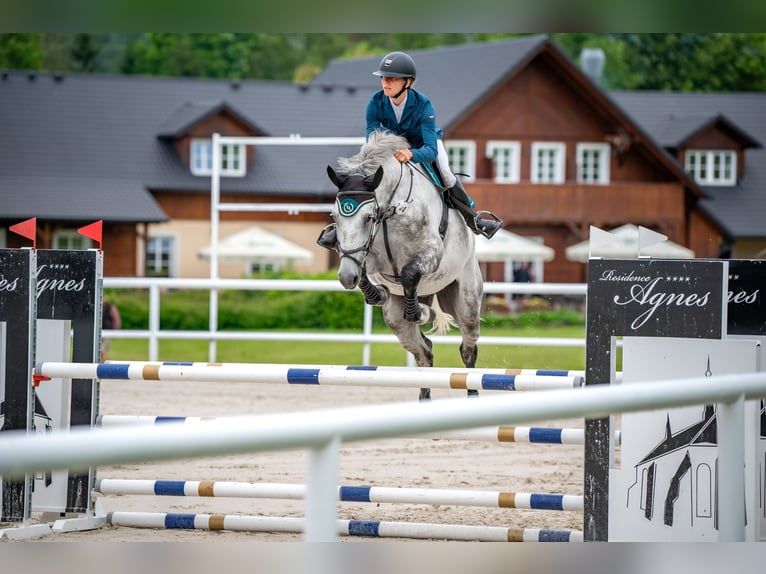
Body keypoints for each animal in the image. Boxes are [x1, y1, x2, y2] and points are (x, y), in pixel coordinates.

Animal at [320, 130, 484, 400]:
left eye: (368, 217)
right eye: (334, 216)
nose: (345, 278)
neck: (390, 210)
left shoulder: (431, 251)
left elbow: (409, 273)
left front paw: (417, 311)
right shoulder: (369, 257)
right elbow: (364, 270)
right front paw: (376, 294)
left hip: (467, 302)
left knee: (468, 348)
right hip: (396, 321)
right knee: (424, 351)